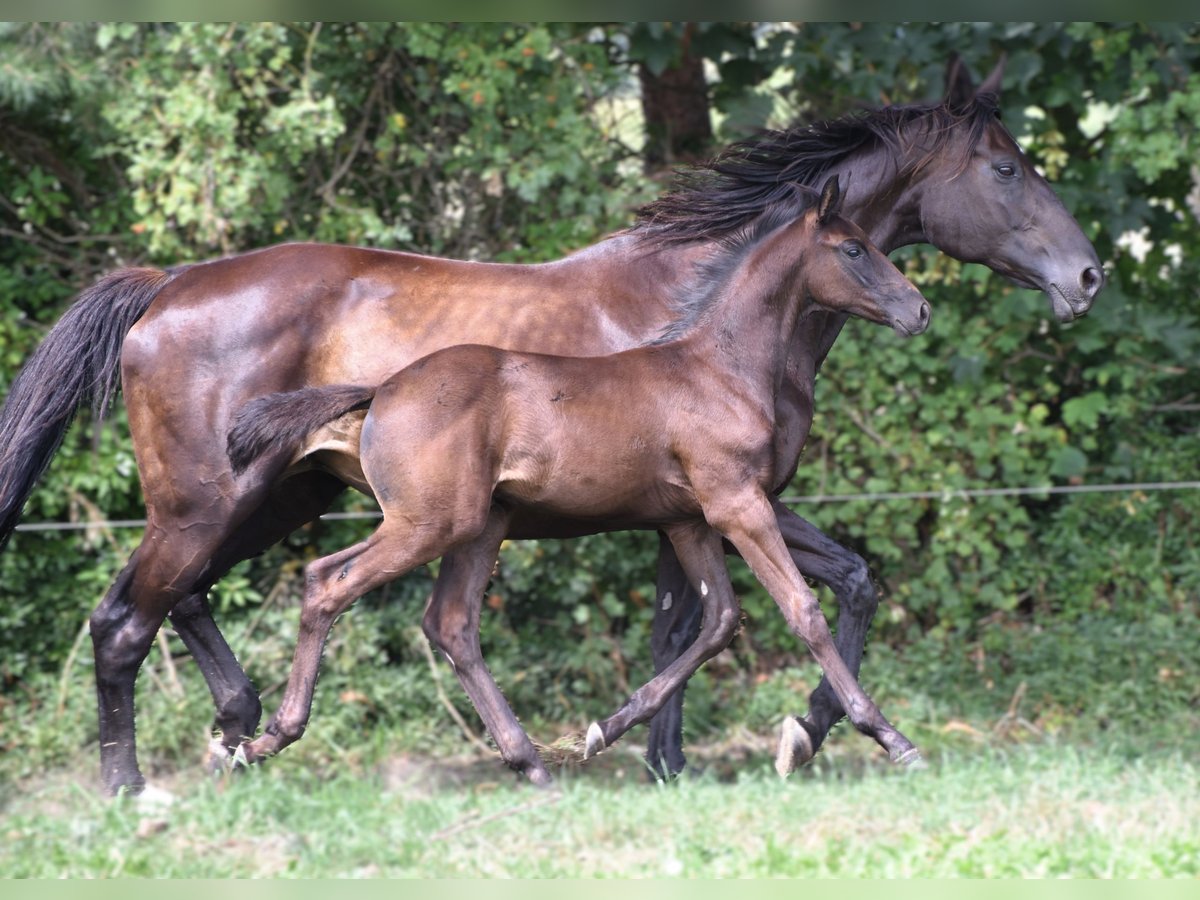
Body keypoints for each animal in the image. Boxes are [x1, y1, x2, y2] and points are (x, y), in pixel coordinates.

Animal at [225, 174, 931, 782]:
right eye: (853, 248)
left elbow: (719, 622)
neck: (717, 366)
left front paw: (601, 732)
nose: (920, 310)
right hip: (429, 523)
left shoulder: (690, 520)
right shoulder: (735, 504)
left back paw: (531, 762)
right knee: (328, 583)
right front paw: (892, 738)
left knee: (449, 622)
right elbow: (800, 608)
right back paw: (264, 740)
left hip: (482, 526)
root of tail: (383, 388)